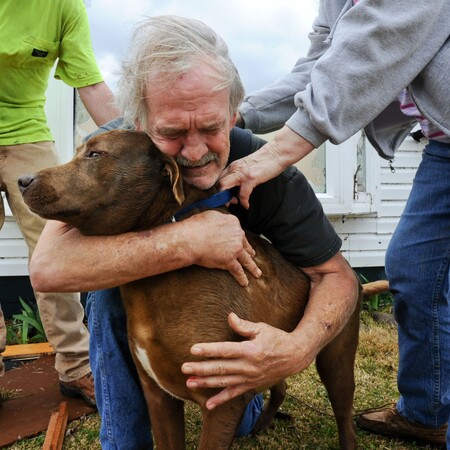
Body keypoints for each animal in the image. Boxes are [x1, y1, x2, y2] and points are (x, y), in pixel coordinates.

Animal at [19, 130, 382, 450]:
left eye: (95, 154)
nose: (23, 181)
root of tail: (354, 277)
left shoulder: (222, 401)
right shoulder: (159, 397)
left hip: (335, 360)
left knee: (344, 416)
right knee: (279, 381)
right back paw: (263, 422)